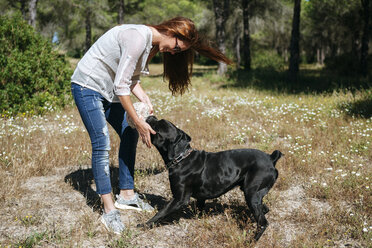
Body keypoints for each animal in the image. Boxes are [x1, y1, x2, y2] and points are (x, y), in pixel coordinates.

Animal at [143, 116, 282, 240]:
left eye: (156, 126)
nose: (151, 116)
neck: (181, 158)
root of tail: (271, 158)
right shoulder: (199, 198)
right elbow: (198, 208)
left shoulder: (179, 199)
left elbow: (160, 213)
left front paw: (144, 225)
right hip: (254, 195)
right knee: (264, 209)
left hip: (251, 194)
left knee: (263, 223)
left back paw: (251, 240)